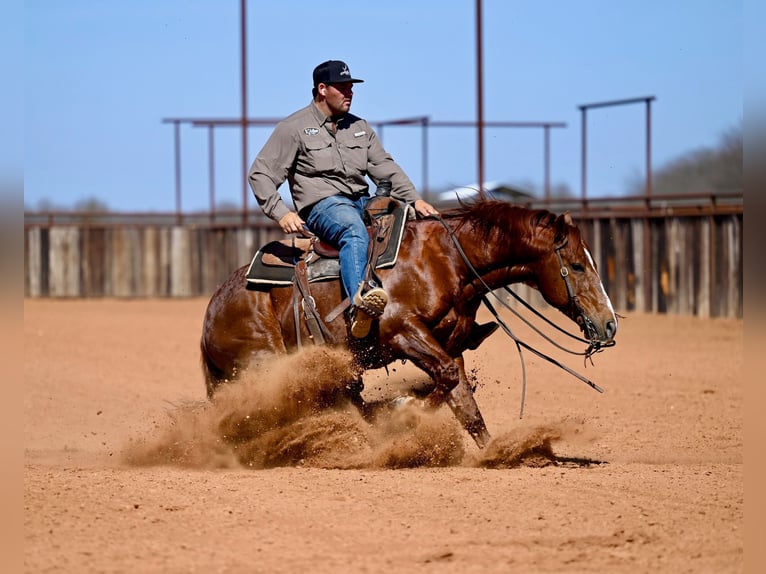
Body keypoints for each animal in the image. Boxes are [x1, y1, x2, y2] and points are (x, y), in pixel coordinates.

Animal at [199, 199, 618, 448]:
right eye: (576, 265)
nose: (610, 325)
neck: (445, 261)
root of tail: (210, 314)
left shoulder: (448, 344)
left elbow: (461, 396)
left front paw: (493, 452)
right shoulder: (401, 332)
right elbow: (446, 379)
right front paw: (404, 409)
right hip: (265, 364)